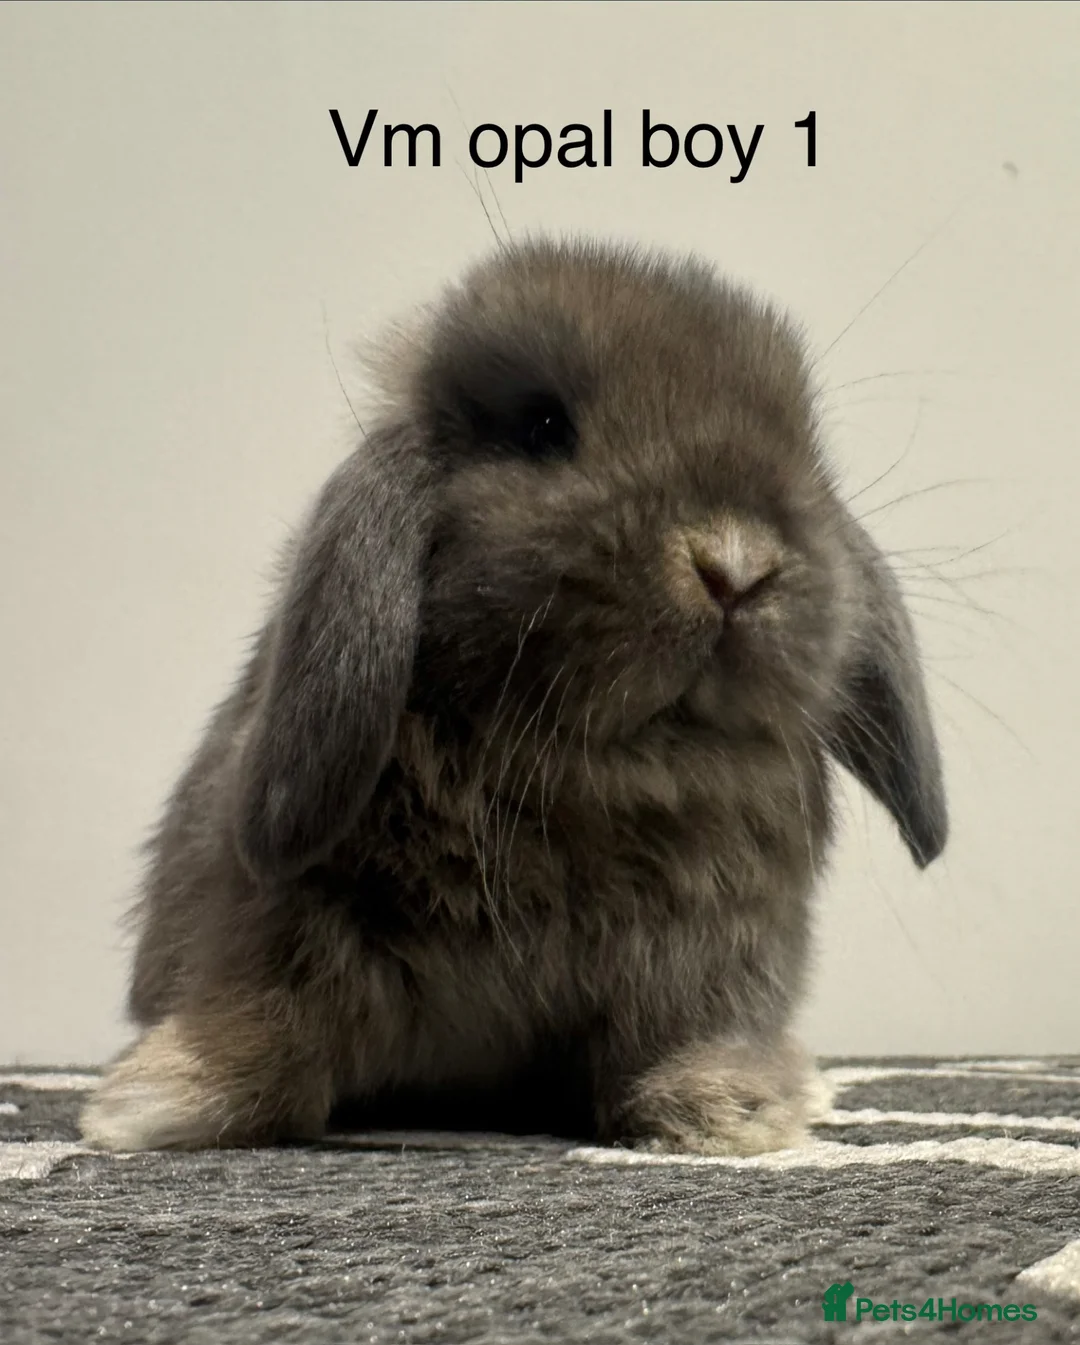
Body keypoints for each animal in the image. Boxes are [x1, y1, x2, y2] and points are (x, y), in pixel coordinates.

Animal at [81, 237, 947, 1156]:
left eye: (805, 450)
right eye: (543, 428)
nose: (735, 566)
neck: (594, 780)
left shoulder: (710, 958)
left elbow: (688, 1034)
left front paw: (730, 1106)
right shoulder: (283, 920)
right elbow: (273, 1017)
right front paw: (159, 1097)